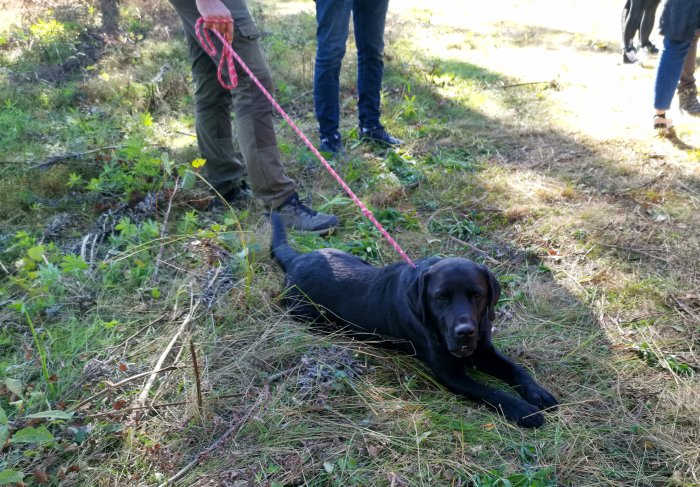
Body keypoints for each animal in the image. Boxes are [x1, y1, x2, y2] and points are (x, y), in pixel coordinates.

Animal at [270, 214, 556, 428]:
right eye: (441, 297)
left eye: (477, 295)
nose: (465, 332)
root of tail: (295, 259)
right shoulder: (450, 373)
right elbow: (490, 391)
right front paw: (524, 410)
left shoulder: (483, 350)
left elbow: (515, 369)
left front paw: (537, 393)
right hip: (311, 316)